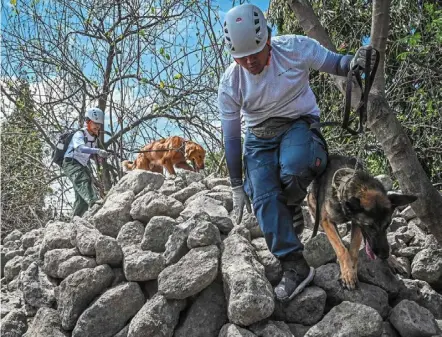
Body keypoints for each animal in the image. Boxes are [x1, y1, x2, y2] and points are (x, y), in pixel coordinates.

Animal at [308, 155, 418, 288]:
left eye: (387, 225)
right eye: (370, 226)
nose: (384, 255)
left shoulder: (357, 224)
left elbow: (354, 249)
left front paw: (351, 270)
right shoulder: (327, 221)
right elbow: (341, 249)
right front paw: (348, 273)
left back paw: (391, 260)